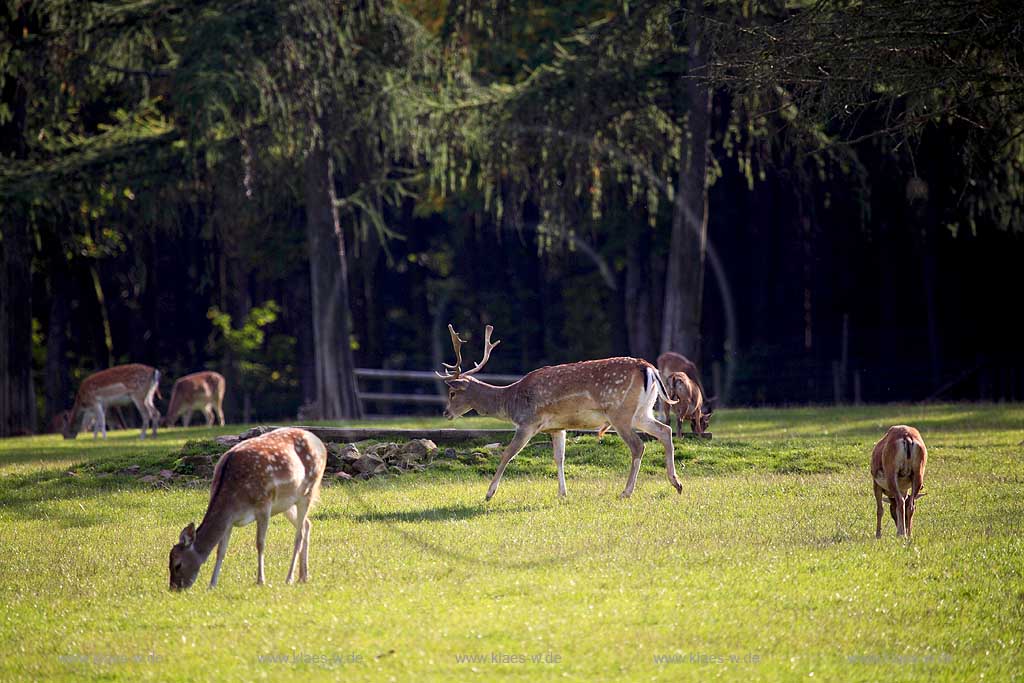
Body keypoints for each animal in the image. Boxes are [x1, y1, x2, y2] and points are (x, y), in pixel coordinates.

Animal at [169, 430, 325, 589]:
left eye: (177, 565)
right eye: (168, 564)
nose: (174, 588)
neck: (235, 501)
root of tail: (320, 443)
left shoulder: (264, 504)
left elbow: (260, 543)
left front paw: (261, 580)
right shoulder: (229, 520)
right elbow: (221, 550)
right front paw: (212, 585)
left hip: (308, 491)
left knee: (299, 535)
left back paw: (290, 578)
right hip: (286, 503)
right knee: (307, 524)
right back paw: (303, 576)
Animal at [440, 323, 679, 499]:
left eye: (452, 393)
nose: (445, 413)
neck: (512, 401)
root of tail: (647, 367)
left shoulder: (528, 422)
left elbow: (508, 453)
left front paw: (489, 493)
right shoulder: (557, 428)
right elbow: (559, 457)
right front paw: (563, 493)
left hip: (620, 412)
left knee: (638, 446)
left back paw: (626, 492)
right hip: (642, 412)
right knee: (665, 430)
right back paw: (676, 483)